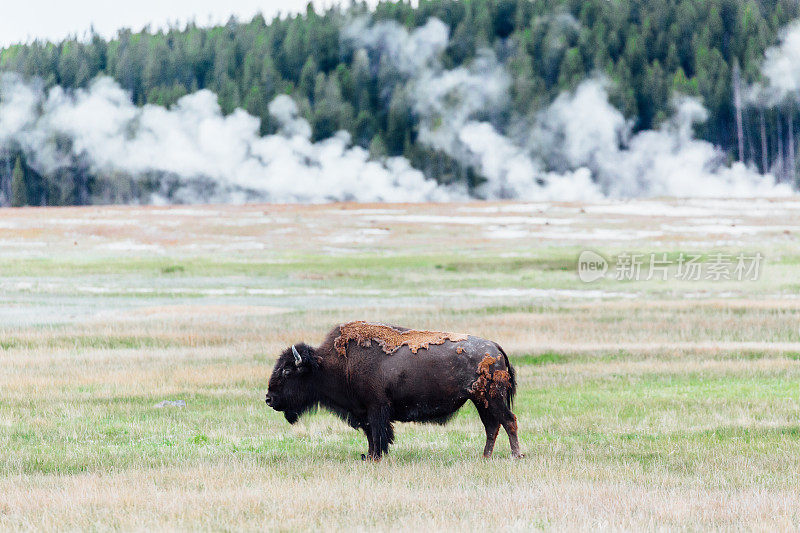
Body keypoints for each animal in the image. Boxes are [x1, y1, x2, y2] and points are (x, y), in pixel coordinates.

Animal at [266, 322, 520, 460]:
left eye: (287, 371)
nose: (269, 399)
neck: (331, 364)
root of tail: (495, 347)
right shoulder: (366, 412)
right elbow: (370, 435)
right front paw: (369, 456)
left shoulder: (376, 408)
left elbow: (378, 434)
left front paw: (376, 458)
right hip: (481, 401)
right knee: (492, 426)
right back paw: (485, 457)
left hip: (492, 398)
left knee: (508, 421)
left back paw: (516, 456)